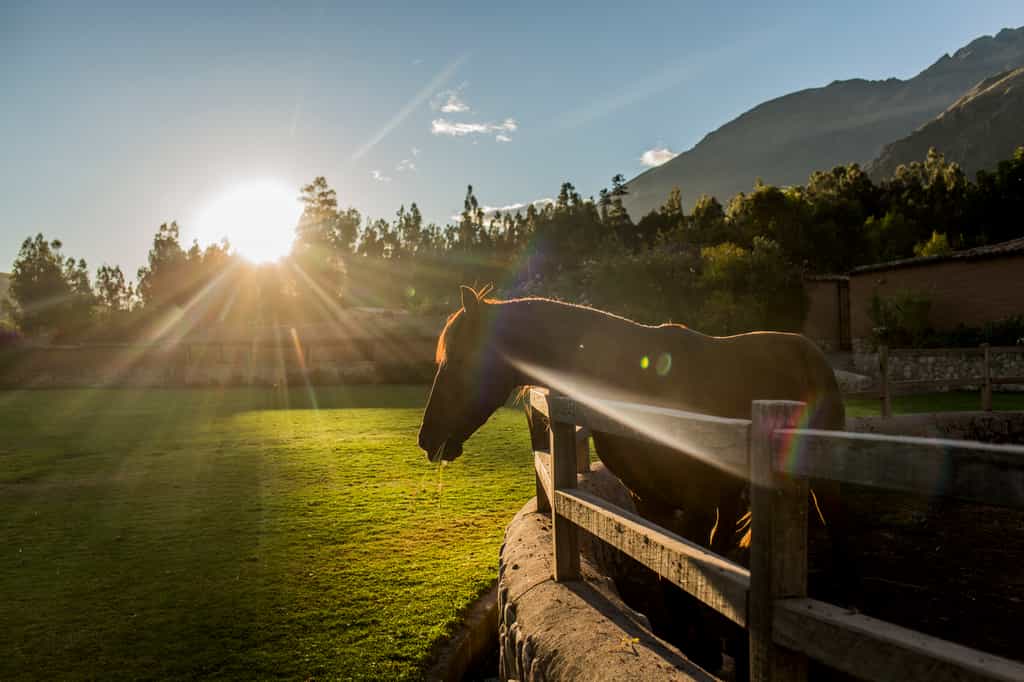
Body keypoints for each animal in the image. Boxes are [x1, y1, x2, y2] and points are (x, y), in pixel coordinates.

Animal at [418, 285, 848, 671]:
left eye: (458, 359)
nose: (427, 438)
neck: (636, 387)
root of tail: (810, 352)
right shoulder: (651, 503)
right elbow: (672, 576)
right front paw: (695, 648)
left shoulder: (694, 504)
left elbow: (689, 575)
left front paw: (705, 652)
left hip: (818, 486)